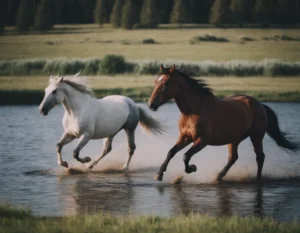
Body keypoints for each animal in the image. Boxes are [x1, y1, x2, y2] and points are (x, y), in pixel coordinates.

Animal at [147, 64, 298, 182]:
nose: (151, 104)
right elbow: (171, 152)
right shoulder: (185, 137)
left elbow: (185, 156)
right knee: (233, 158)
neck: (194, 111)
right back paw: (218, 176)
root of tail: (260, 105)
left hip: (256, 136)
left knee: (260, 157)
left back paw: (257, 179)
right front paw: (159, 175)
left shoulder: (202, 140)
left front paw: (192, 168)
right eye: (155, 82)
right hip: (234, 139)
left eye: (165, 83)